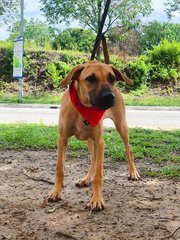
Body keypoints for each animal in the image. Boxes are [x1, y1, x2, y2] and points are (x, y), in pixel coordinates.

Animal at [47, 61, 141, 210]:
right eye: (90, 78)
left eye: (112, 78)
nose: (109, 97)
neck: (84, 107)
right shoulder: (62, 139)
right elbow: (59, 168)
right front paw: (55, 192)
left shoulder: (100, 142)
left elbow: (99, 174)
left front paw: (96, 200)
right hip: (90, 140)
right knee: (93, 159)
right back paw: (86, 179)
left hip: (121, 126)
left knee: (128, 150)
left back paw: (133, 172)